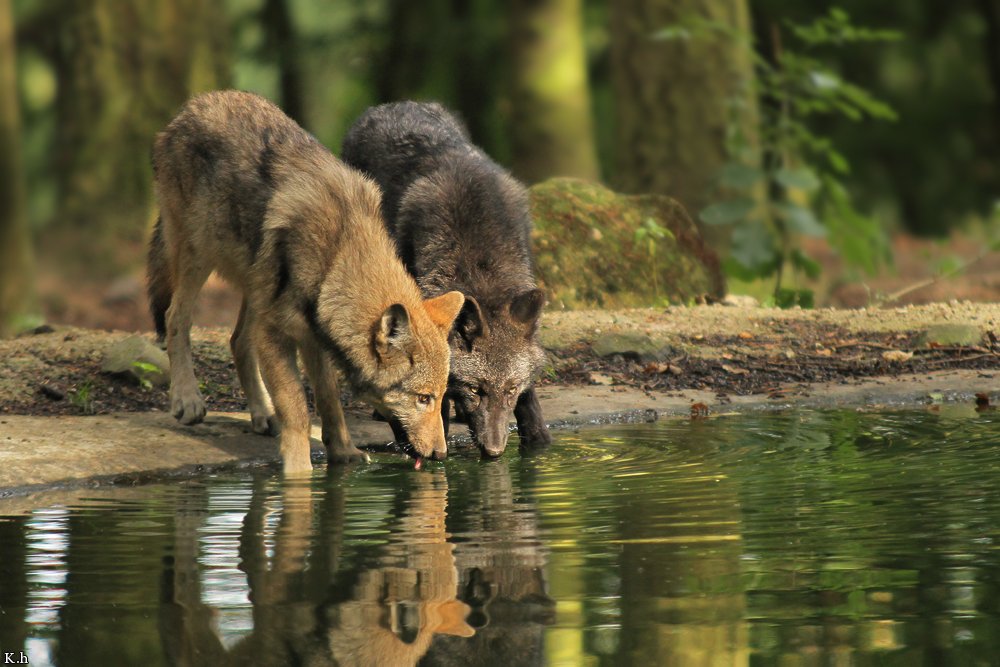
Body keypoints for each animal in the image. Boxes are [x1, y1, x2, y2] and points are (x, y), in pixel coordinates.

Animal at [147, 91, 464, 474]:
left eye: (441, 397)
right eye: (423, 398)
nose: (441, 455)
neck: (338, 254)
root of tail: (193, 104)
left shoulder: (314, 336)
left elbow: (329, 398)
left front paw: (344, 452)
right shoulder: (277, 335)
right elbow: (298, 409)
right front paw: (299, 472)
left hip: (255, 285)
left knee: (237, 340)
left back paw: (263, 414)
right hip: (198, 257)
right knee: (175, 319)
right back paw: (187, 399)